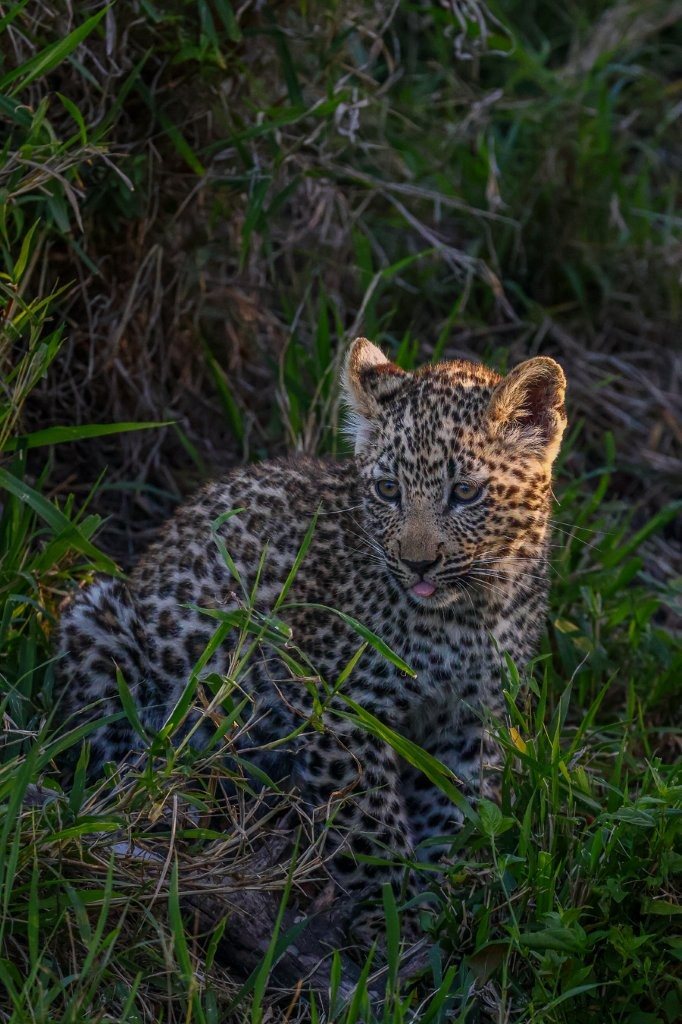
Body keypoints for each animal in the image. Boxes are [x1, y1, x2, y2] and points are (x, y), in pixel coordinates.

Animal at [55, 337, 567, 939]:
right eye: (388, 490)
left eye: (464, 492)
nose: (416, 564)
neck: (472, 614)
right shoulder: (339, 707)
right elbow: (370, 820)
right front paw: (391, 915)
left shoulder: (471, 716)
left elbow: (457, 806)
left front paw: (450, 892)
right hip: (96, 618)